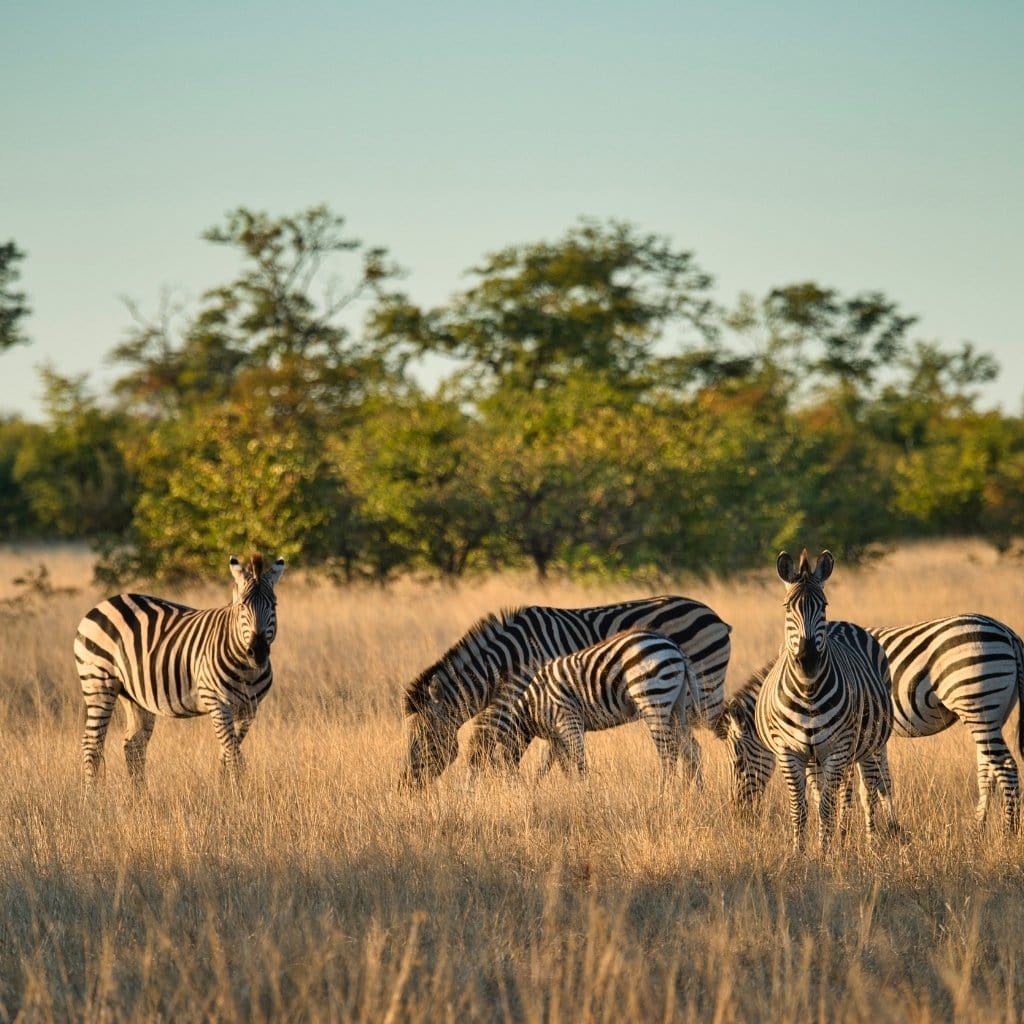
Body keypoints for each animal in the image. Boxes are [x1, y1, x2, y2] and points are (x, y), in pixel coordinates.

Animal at [74, 553, 285, 787]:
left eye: (274, 606)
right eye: (241, 607)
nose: (258, 652)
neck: (247, 669)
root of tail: (104, 603)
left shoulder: (249, 709)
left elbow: (227, 755)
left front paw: (225, 790)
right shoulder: (217, 702)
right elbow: (234, 756)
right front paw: (236, 793)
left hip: (134, 695)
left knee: (134, 745)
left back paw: (140, 795)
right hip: (98, 683)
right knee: (92, 744)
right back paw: (92, 794)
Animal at [465, 628, 703, 781]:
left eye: (481, 769)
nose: (470, 797)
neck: (531, 703)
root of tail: (674, 647)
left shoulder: (567, 720)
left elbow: (579, 764)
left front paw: (584, 797)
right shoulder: (554, 736)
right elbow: (552, 767)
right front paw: (545, 792)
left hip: (653, 699)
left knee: (668, 753)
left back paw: (664, 796)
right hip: (677, 706)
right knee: (692, 750)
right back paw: (692, 795)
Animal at [718, 612, 1024, 834]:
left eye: (738, 762)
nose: (738, 815)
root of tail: (1008, 634)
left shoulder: (846, 733)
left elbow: (850, 785)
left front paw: (846, 830)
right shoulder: (871, 737)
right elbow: (882, 781)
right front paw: (891, 828)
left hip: (977, 702)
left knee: (1006, 767)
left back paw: (1009, 831)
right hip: (990, 713)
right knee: (987, 769)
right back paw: (979, 827)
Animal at [753, 549, 895, 852]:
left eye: (824, 605)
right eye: (787, 607)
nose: (808, 659)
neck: (808, 690)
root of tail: (840, 624)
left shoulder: (838, 748)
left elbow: (828, 806)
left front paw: (825, 852)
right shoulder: (788, 750)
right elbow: (801, 807)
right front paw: (800, 852)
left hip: (869, 744)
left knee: (869, 790)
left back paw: (871, 843)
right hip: (815, 757)